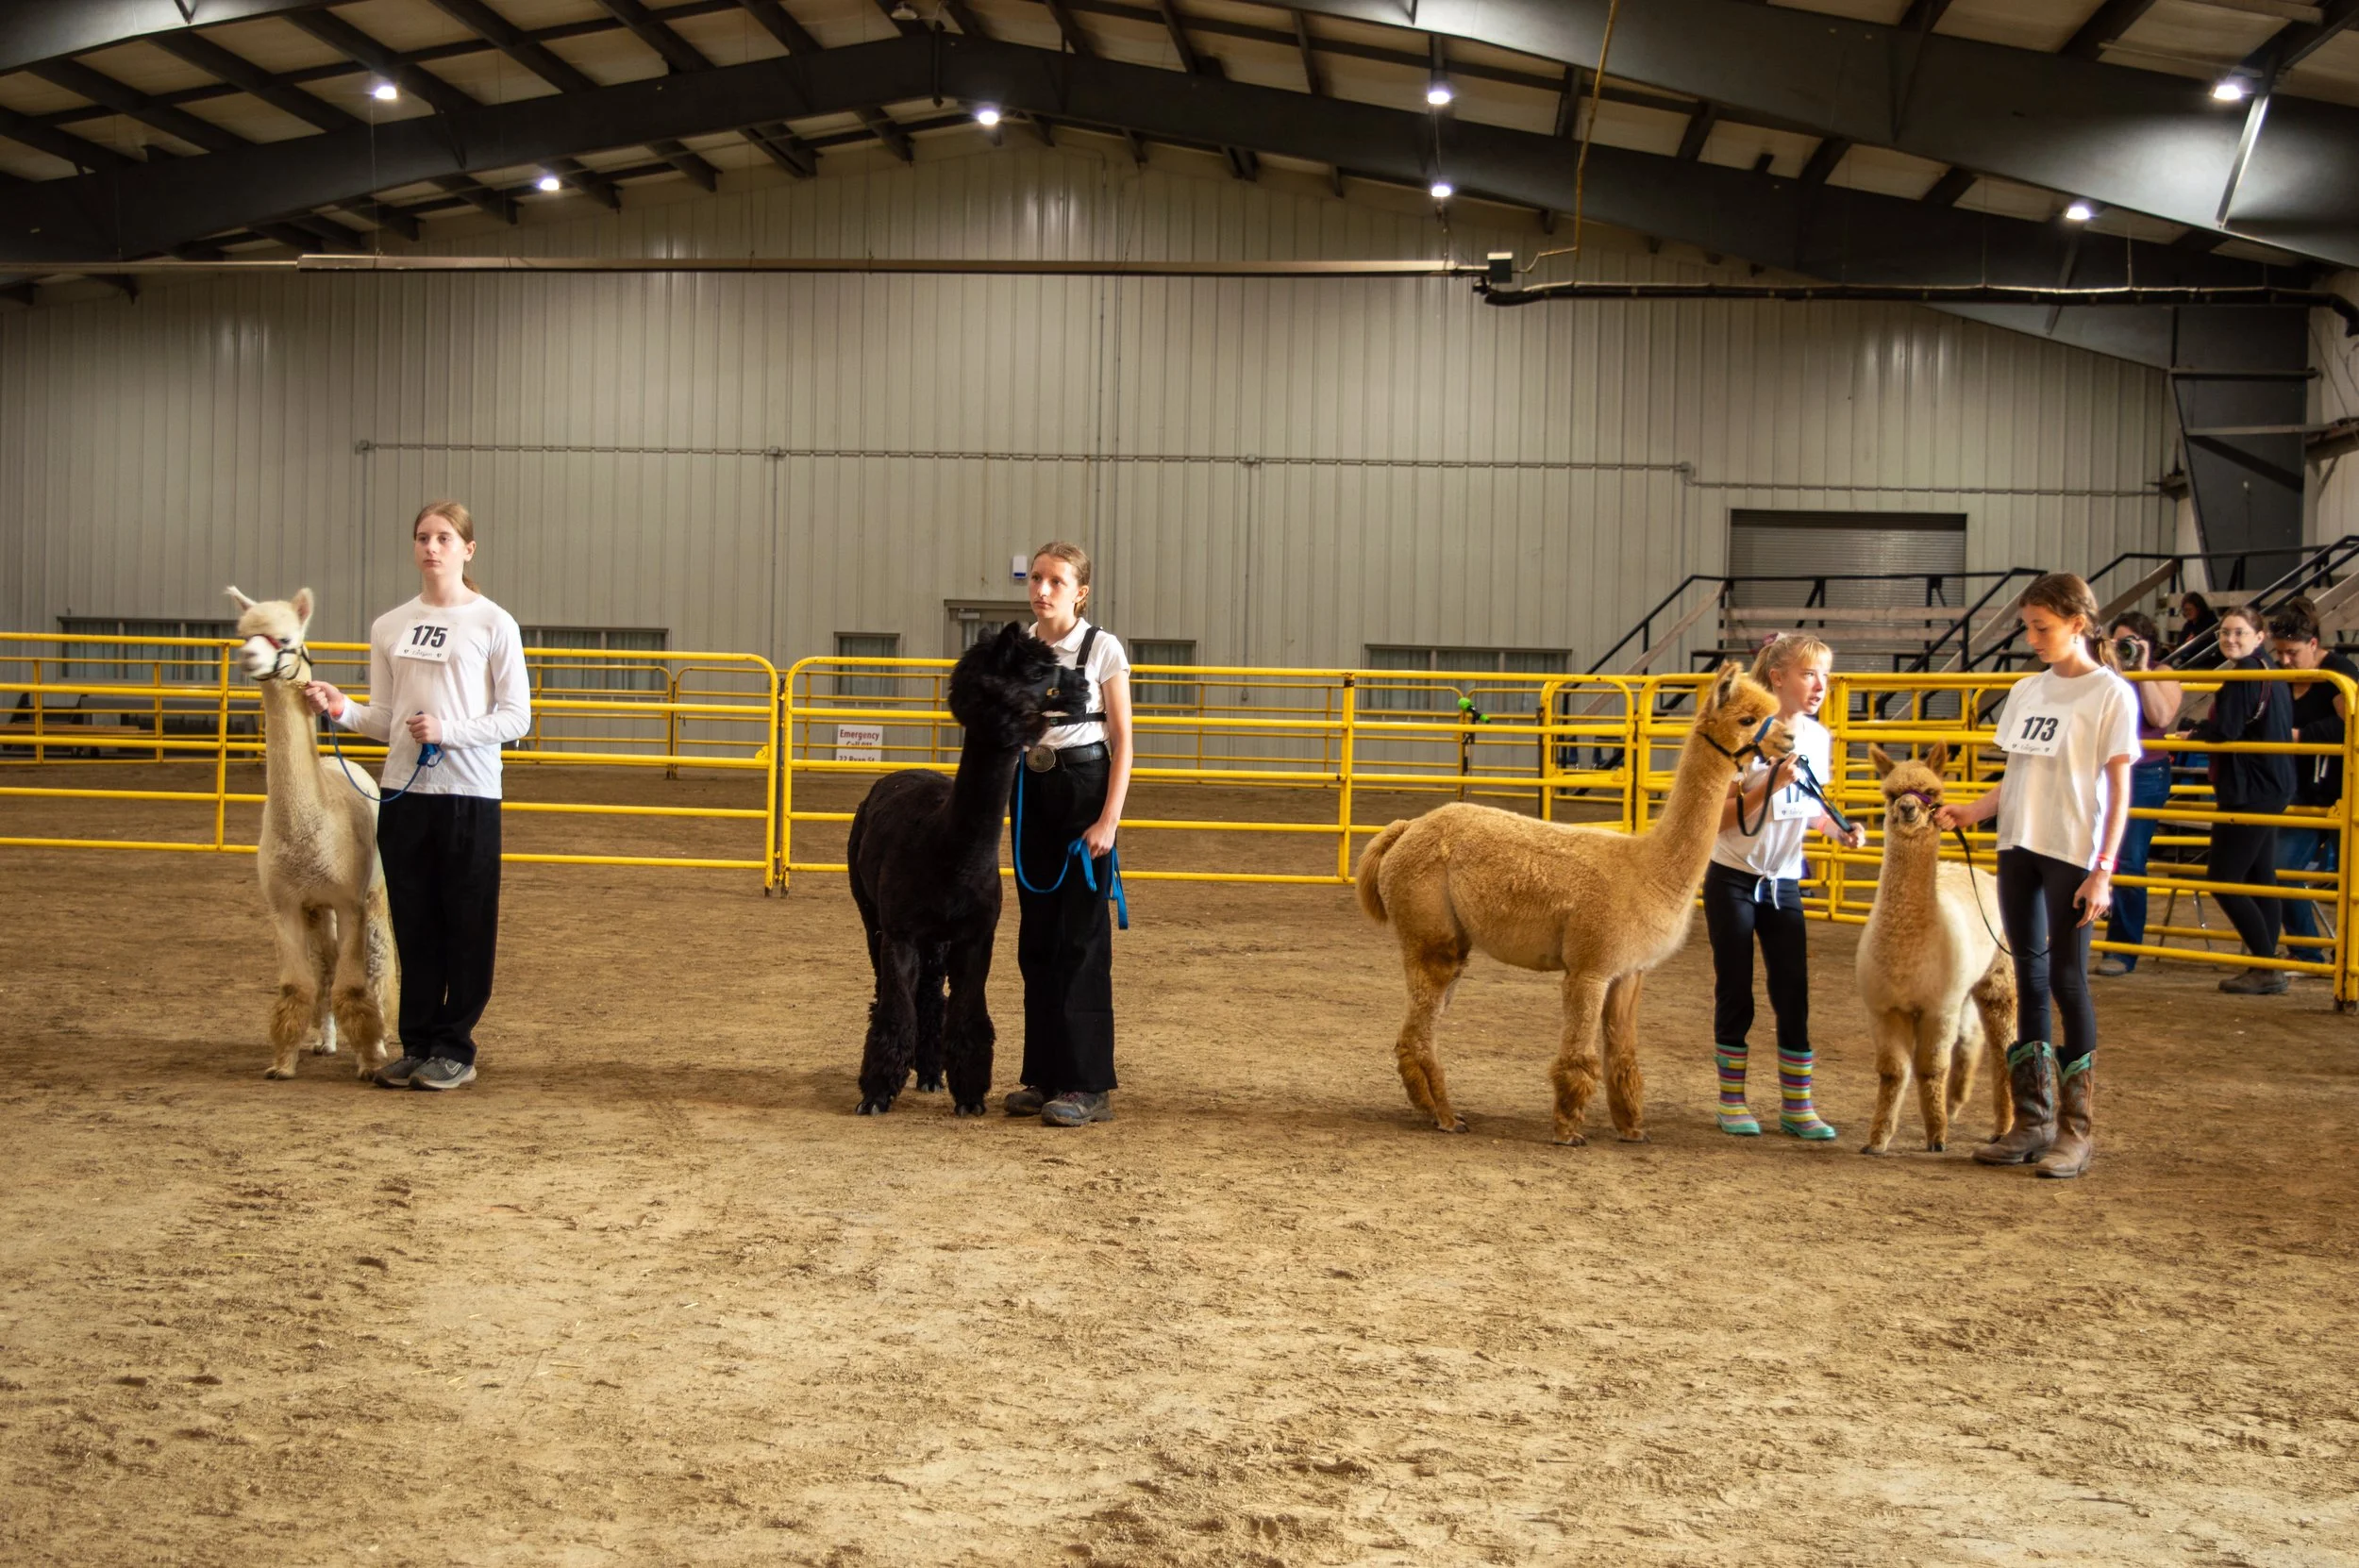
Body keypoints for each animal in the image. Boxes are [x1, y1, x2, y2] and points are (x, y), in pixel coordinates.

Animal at [225, 587, 398, 1080]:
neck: (311, 829)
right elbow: (297, 983)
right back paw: (326, 1040)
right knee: (325, 964)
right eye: (243, 633)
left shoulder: (351, 900)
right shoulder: (284, 902)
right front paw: (282, 1062)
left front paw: (369, 1060)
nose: (248, 656)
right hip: (316, 907)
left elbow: (354, 983)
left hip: (372, 893)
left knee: (376, 963)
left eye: (284, 637)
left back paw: (381, 1041)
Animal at [846, 623, 1059, 1116]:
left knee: (931, 996)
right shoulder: (900, 931)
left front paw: (970, 1096)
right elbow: (894, 1009)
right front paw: (876, 1094)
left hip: (937, 938)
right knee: (896, 990)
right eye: (1036, 671)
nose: (1028, 720)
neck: (946, 853)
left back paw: (929, 1074)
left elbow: (967, 1012)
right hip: (871, 914)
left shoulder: (975, 935)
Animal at [1357, 663, 1788, 1145]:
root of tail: (1408, 828)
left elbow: (1623, 1054)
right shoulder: (1590, 966)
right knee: (1419, 1031)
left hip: (1446, 939)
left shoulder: (1629, 971)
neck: (1648, 869)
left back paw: (1434, 1109)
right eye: (1748, 719)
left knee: (1412, 1033)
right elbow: (1580, 1053)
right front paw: (1567, 1129)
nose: (1790, 740)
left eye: (1774, 712)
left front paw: (1632, 1128)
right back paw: (1447, 1117)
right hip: (1430, 932)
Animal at [1855, 744, 2016, 1155]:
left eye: (1932, 793)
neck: (1906, 954)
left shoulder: (1937, 1007)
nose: (1908, 808)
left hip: (1998, 975)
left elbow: (1930, 1068)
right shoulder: (1884, 1008)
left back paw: (2002, 1127)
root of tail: (1973, 869)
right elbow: (1893, 1072)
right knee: (1970, 1040)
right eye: (1890, 794)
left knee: (2002, 1046)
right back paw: (1955, 1103)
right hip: (1963, 987)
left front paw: (1936, 1137)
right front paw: (1877, 1139)